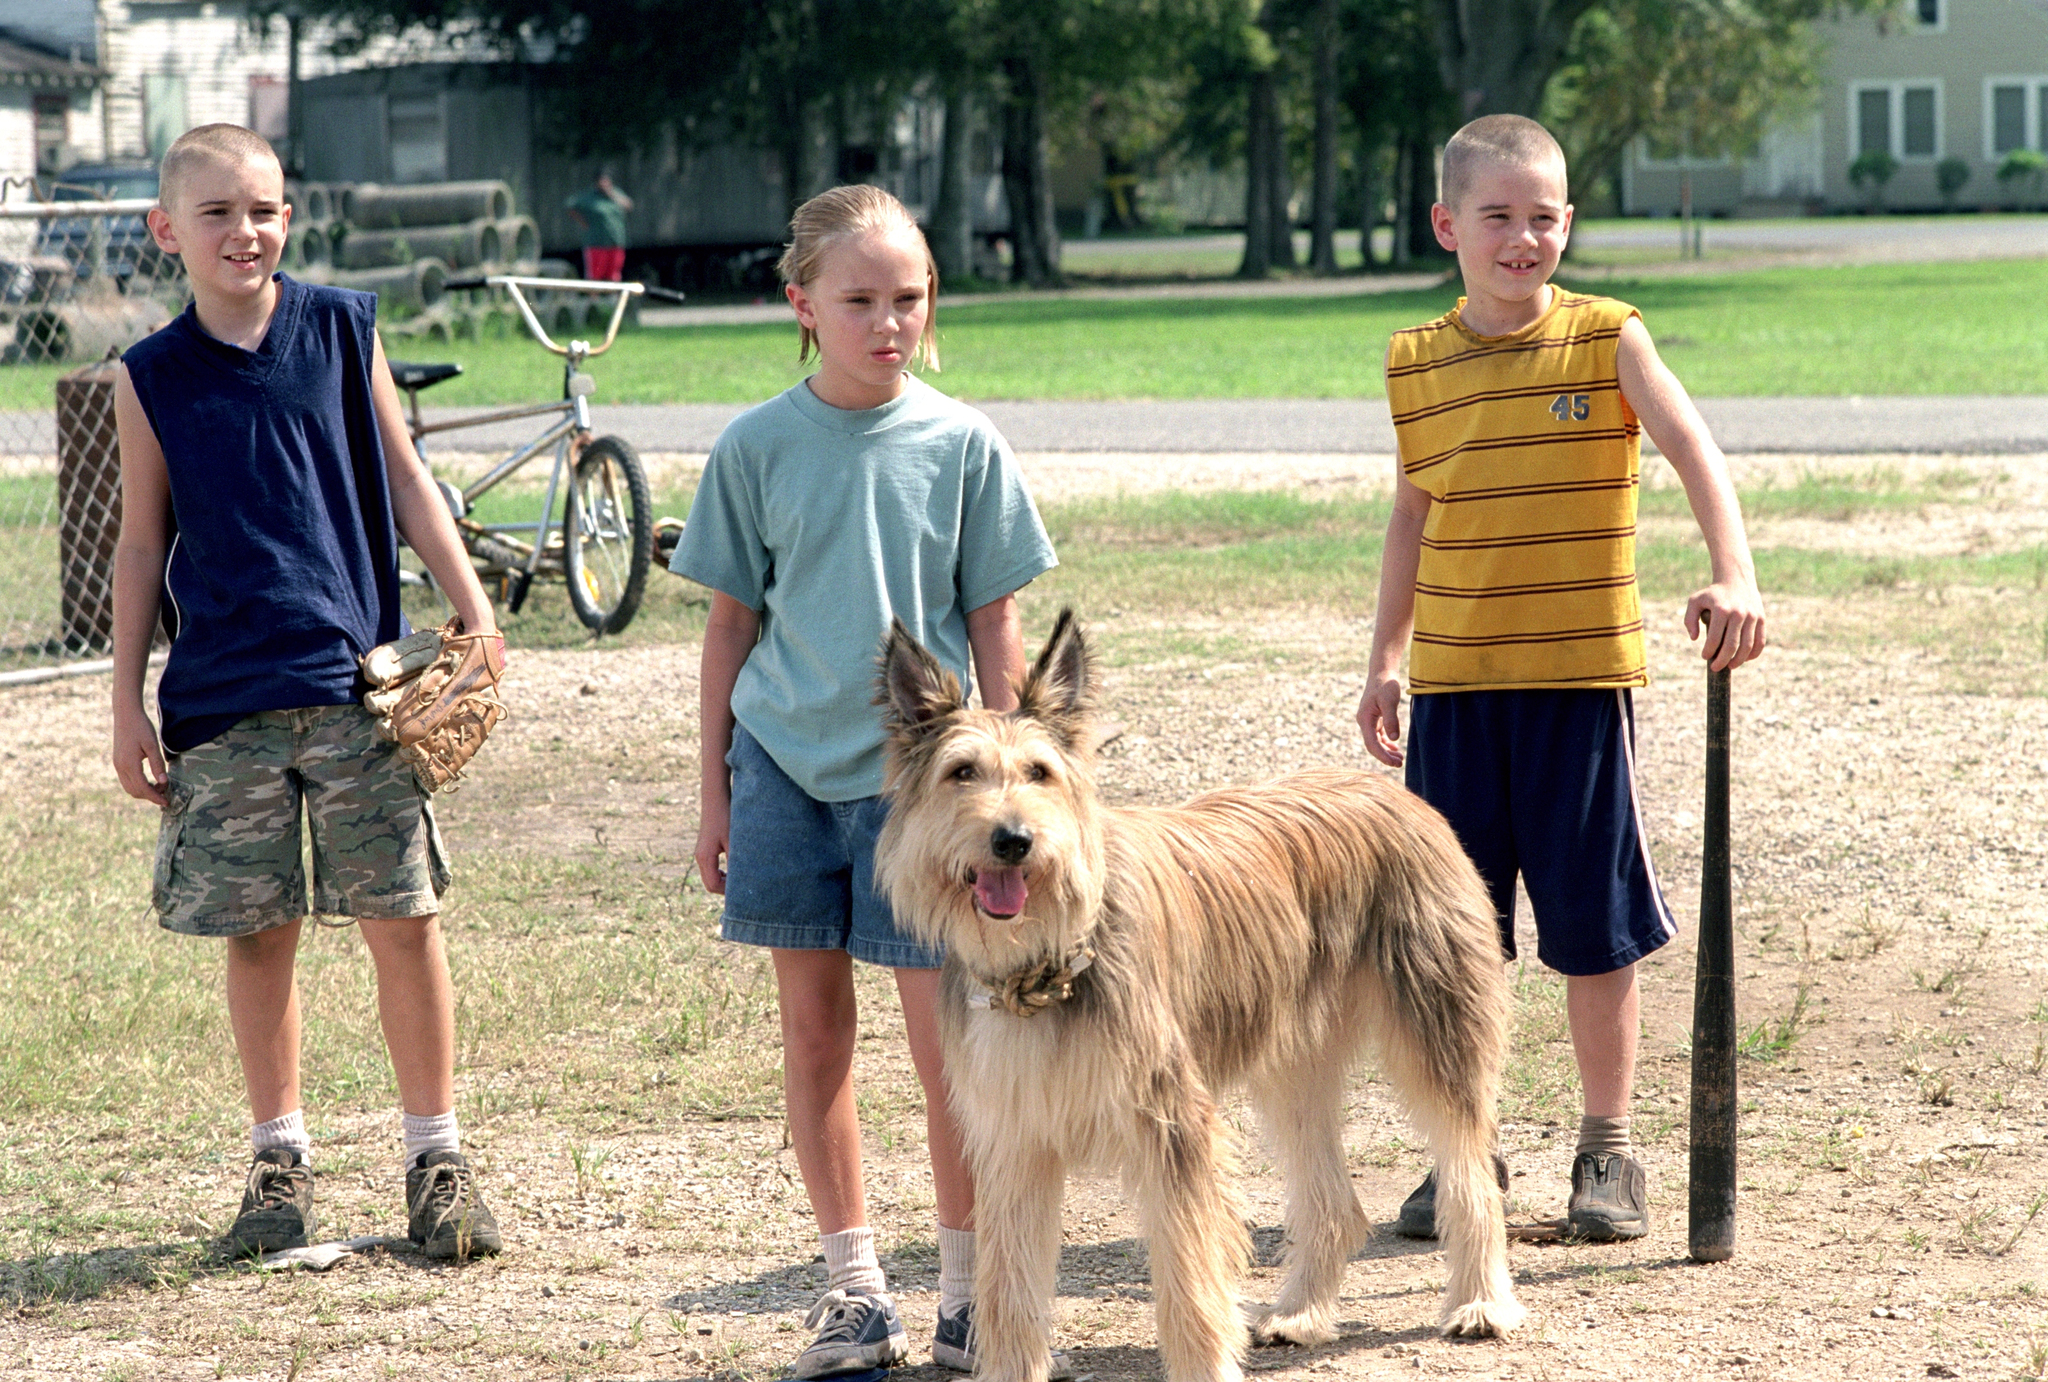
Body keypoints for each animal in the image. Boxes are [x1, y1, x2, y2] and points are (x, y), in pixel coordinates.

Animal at [872, 614, 1531, 1382]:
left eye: (1039, 772)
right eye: (961, 773)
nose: (1014, 840)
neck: (1047, 959)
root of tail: (1397, 793)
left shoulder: (1174, 1126)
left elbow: (1190, 1279)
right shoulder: (1016, 1141)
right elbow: (1008, 1288)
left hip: (1438, 1033)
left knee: (1470, 1172)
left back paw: (1481, 1303)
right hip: (1294, 1064)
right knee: (1335, 1204)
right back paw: (1301, 1314)